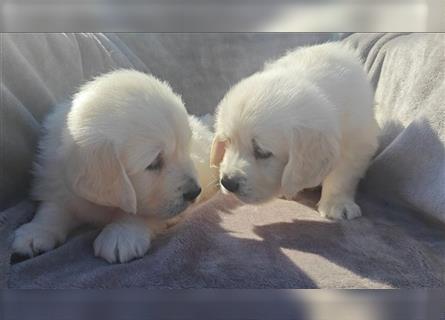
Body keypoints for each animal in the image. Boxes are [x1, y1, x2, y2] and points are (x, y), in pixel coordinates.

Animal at [12, 69, 217, 262]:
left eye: (186, 148)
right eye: (153, 163)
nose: (195, 192)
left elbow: (139, 211)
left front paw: (122, 234)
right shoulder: (57, 181)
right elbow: (52, 208)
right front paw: (34, 232)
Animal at [210, 42, 376, 220]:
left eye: (262, 152)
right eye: (228, 142)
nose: (227, 182)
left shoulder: (357, 141)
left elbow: (342, 175)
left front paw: (337, 204)